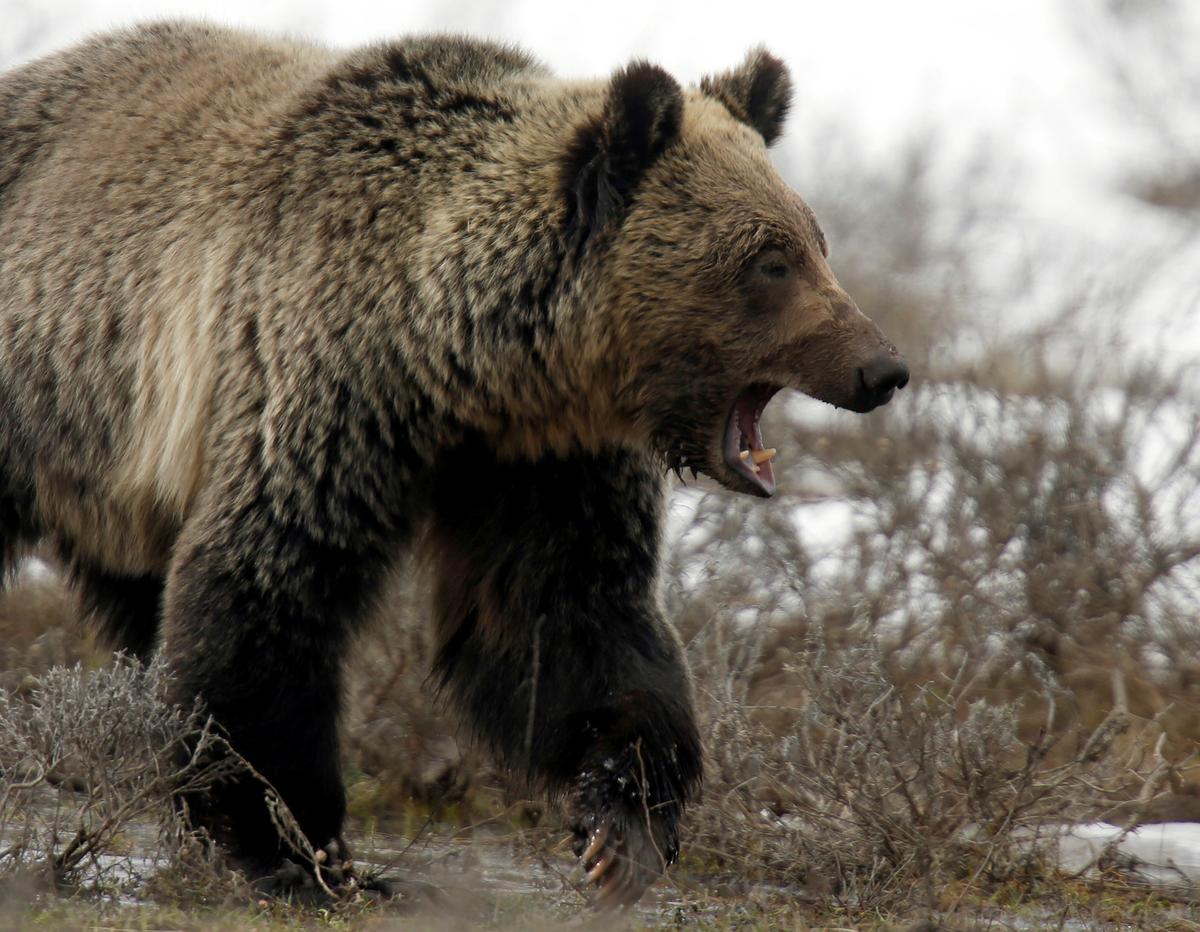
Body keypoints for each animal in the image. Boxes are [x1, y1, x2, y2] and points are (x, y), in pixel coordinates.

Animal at [0, 21, 908, 907]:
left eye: (816, 242)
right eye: (771, 261)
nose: (882, 368)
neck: (458, 360)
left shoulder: (540, 459)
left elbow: (563, 616)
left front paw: (622, 828)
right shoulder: (321, 394)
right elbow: (265, 595)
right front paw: (300, 850)